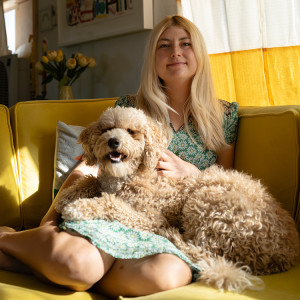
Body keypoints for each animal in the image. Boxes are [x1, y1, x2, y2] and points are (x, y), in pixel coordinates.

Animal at [54, 106, 300, 292]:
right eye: (106, 129)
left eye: (132, 131)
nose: (113, 141)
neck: (127, 176)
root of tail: (285, 254)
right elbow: (90, 181)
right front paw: (66, 195)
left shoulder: (149, 218)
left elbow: (111, 203)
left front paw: (79, 206)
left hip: (205, 201)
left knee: (203, 251)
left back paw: (172, 235)